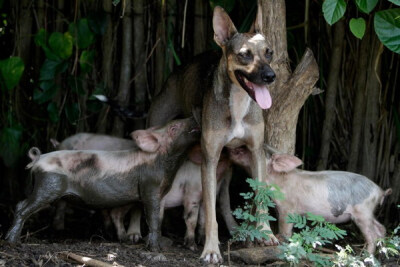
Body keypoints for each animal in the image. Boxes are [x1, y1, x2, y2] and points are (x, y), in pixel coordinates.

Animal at [148, 5, 278, 264]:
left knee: (223, 202)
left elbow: (260, 197)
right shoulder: (209, 160)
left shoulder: (256, 152)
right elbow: (209, 214)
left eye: (268, 53)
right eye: (245, 54)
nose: (271, 76)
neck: (237, 101)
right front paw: (210, 249)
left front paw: (265, 233)